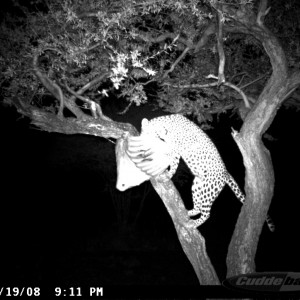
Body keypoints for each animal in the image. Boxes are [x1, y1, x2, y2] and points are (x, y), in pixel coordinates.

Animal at [141, 113, 274, 231]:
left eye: (151, 135)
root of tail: (226, 173)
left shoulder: (175, 149)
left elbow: (172, 163)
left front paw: (167, 173)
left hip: (208, 191)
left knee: (207, 213)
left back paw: (193, 223)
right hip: (198, 185)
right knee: (199, 207)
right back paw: (189, 212)